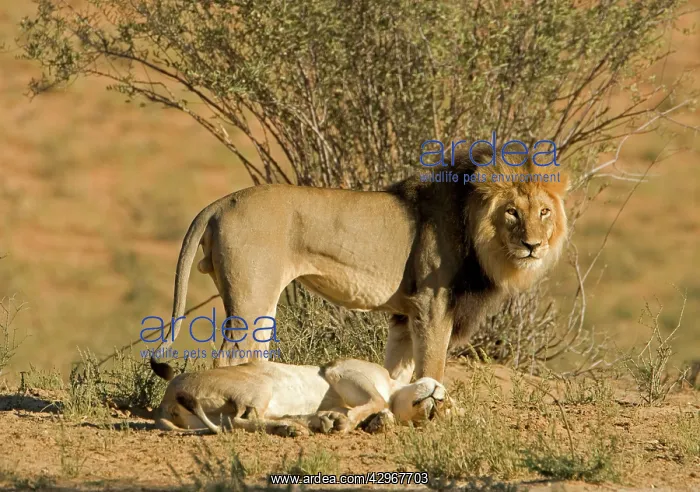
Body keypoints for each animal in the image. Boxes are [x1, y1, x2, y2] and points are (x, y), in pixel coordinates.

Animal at [151, 146, 568, 383]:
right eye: (512, 212)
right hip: (251, 299)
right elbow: (432, 368)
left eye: (544, 212)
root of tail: (221, 202)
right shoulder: (432, 306)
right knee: (228, 357)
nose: (533, 246)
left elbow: (397, 371)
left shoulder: (405, 314)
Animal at [151, 358, 447, 436]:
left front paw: (376, 422)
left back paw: (306, 424)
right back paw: (300, 426)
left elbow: (380, 409)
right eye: (449, 404)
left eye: (442, 415)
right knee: (238, 420)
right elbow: (378, 400)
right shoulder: (340, 370)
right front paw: (348, 421)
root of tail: (166, 401)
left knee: (239, 421)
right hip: (260, 385)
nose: (438, 404)